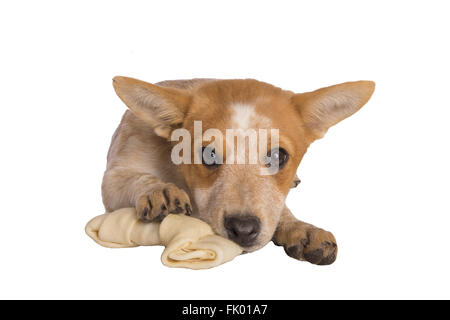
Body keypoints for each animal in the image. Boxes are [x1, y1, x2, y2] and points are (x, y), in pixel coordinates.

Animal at [103, 77, 374, 264]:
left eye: (279, 156)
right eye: (208, 154)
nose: (243, 229)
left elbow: (279, 208)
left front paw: (300, 228)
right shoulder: (114, 177)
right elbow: (138, 178)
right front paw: (159, 190)